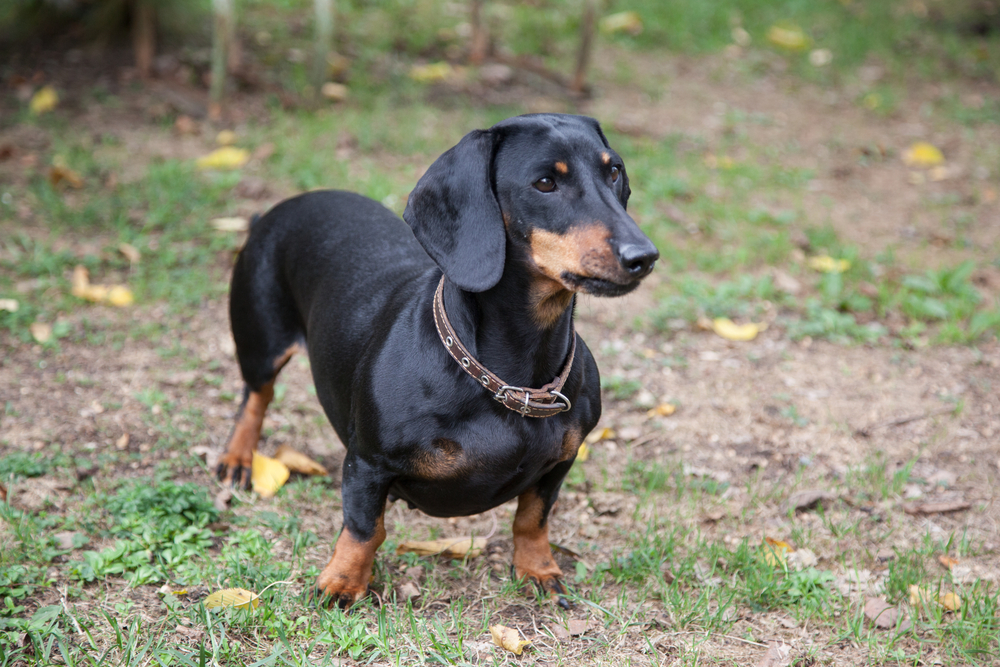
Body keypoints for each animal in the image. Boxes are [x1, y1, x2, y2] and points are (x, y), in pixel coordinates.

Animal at [217, 113, 656, 604]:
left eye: (613, 171)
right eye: (545, 183)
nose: (644, 256)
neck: (511, 380)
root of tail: (279, 208)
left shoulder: (561, 463)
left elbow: (532, 519)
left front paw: (537, 570)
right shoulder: (367, 463)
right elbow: (364, 528)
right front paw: (342, 582)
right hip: (260, 341)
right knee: (255, 397)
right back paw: (237, 459)